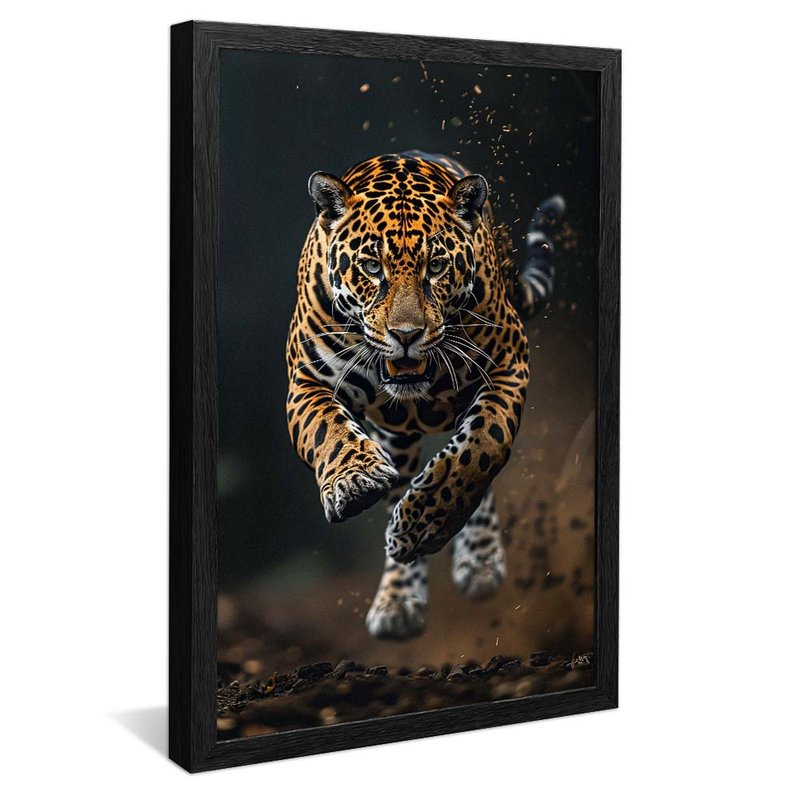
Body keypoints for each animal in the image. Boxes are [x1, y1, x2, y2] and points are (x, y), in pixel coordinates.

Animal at [285, 151, 563, 639]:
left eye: (435, 266)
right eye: (371, 267)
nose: (406, 335)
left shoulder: (509, 364)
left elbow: (481, 450)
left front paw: (423, 526)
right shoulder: (305, 379)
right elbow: (328, 431)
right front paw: (355, 484)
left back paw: (478, 561)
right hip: (396, 438)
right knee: (399, 482)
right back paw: (397, 601)